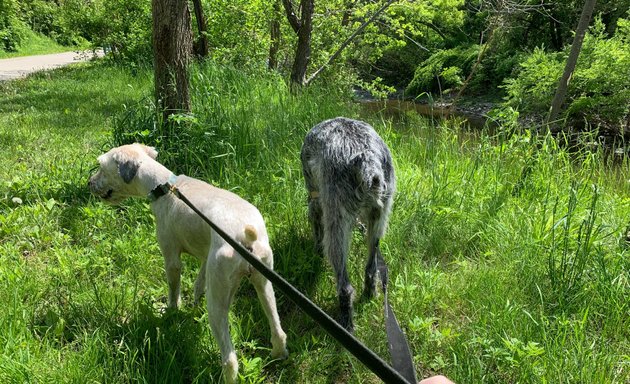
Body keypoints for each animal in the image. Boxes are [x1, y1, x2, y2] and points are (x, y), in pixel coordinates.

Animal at [88, 144, 288, 384]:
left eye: (101, 166)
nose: (89, 183)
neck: (163, 186)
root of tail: (244, 237)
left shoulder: (171, 257)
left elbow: (174, 289)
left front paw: (171, 312)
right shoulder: (205, 258)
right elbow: (198, 284)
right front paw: (193, 307)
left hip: (218, 301)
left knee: (230, 359)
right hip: (264, 283)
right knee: (278, 330)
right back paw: (278, 356)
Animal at [300, 117, 396, 330]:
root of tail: (367, 159)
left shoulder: (316, 201)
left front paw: (316, 252)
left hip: (337, 227)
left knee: (344, 287)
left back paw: (346, 322)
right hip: (379, 219)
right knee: (371, 268)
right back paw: (370, 293)